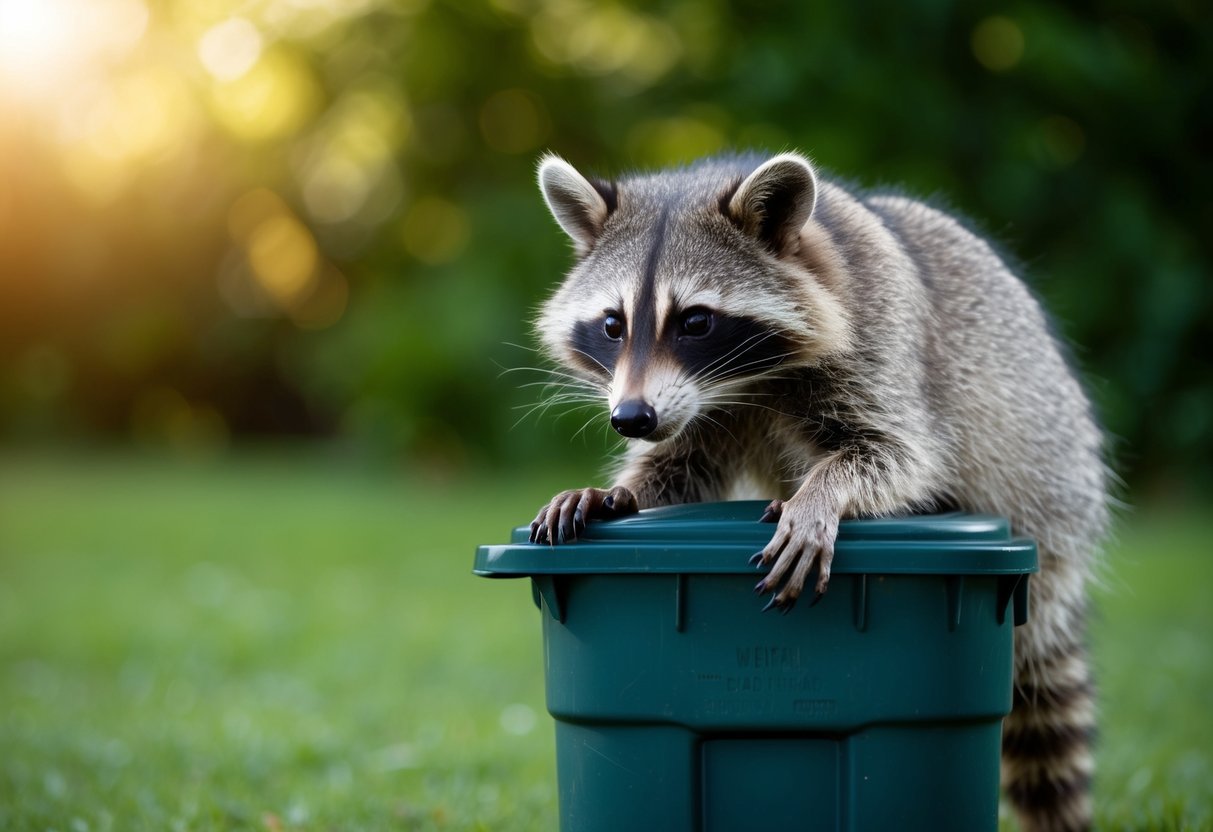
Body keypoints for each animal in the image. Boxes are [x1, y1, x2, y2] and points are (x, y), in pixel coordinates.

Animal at [526, 151, 1109, 832]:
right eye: (612, 325)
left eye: (695, 321)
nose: (630, 418)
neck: (746, 380)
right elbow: (681, 467)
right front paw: (617, 495)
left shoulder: (876, 337)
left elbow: (899, 453)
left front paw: (821, 495)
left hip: (1047, 464)